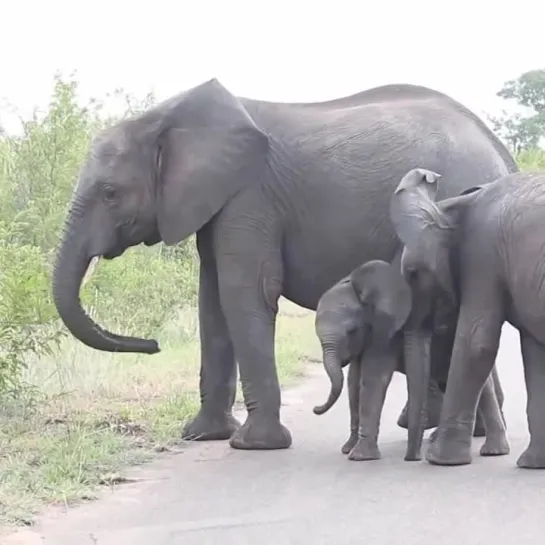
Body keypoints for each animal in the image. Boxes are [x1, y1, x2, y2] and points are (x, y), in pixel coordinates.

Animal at [314, 258, 506, 460]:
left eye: (351, 331)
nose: (316, 409)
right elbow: (354, 383)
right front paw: (348, 449)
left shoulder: (387, 331)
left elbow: (374, 378)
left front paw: (360, 456)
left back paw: (492, 450)